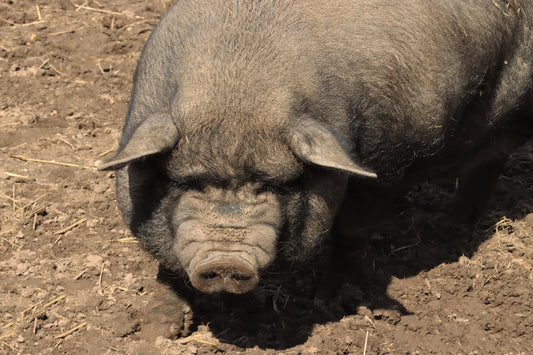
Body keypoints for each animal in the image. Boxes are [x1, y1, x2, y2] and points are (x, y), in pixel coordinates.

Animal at [96, 0, 532, 340]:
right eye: (185, 181)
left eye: (279, 184)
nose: (226, 260)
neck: (237, 86)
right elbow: (166, 262)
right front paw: (160, 333)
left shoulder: (390, 164)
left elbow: (353, 231)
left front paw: (335, 304)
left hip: (513, 106)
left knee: (493, 158)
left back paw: (451, 225)